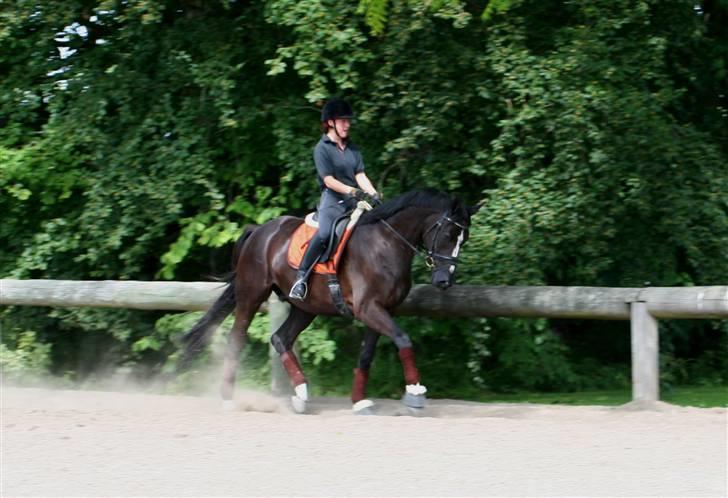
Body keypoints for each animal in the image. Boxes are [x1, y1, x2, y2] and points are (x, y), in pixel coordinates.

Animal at [180, 189, 480, 414]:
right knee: (238, 337)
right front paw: (415, 392)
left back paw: (301, 394)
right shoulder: (369, 309)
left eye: (463, 239)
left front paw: (359, 401)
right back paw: (228, 397)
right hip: (252, 295)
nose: (444, 281)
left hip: (305, 307)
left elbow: (367, 354)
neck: (385, 243)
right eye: (448, 234)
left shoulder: (381, 310)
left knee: (280, 338)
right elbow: (404, 339)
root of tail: (259, 231)